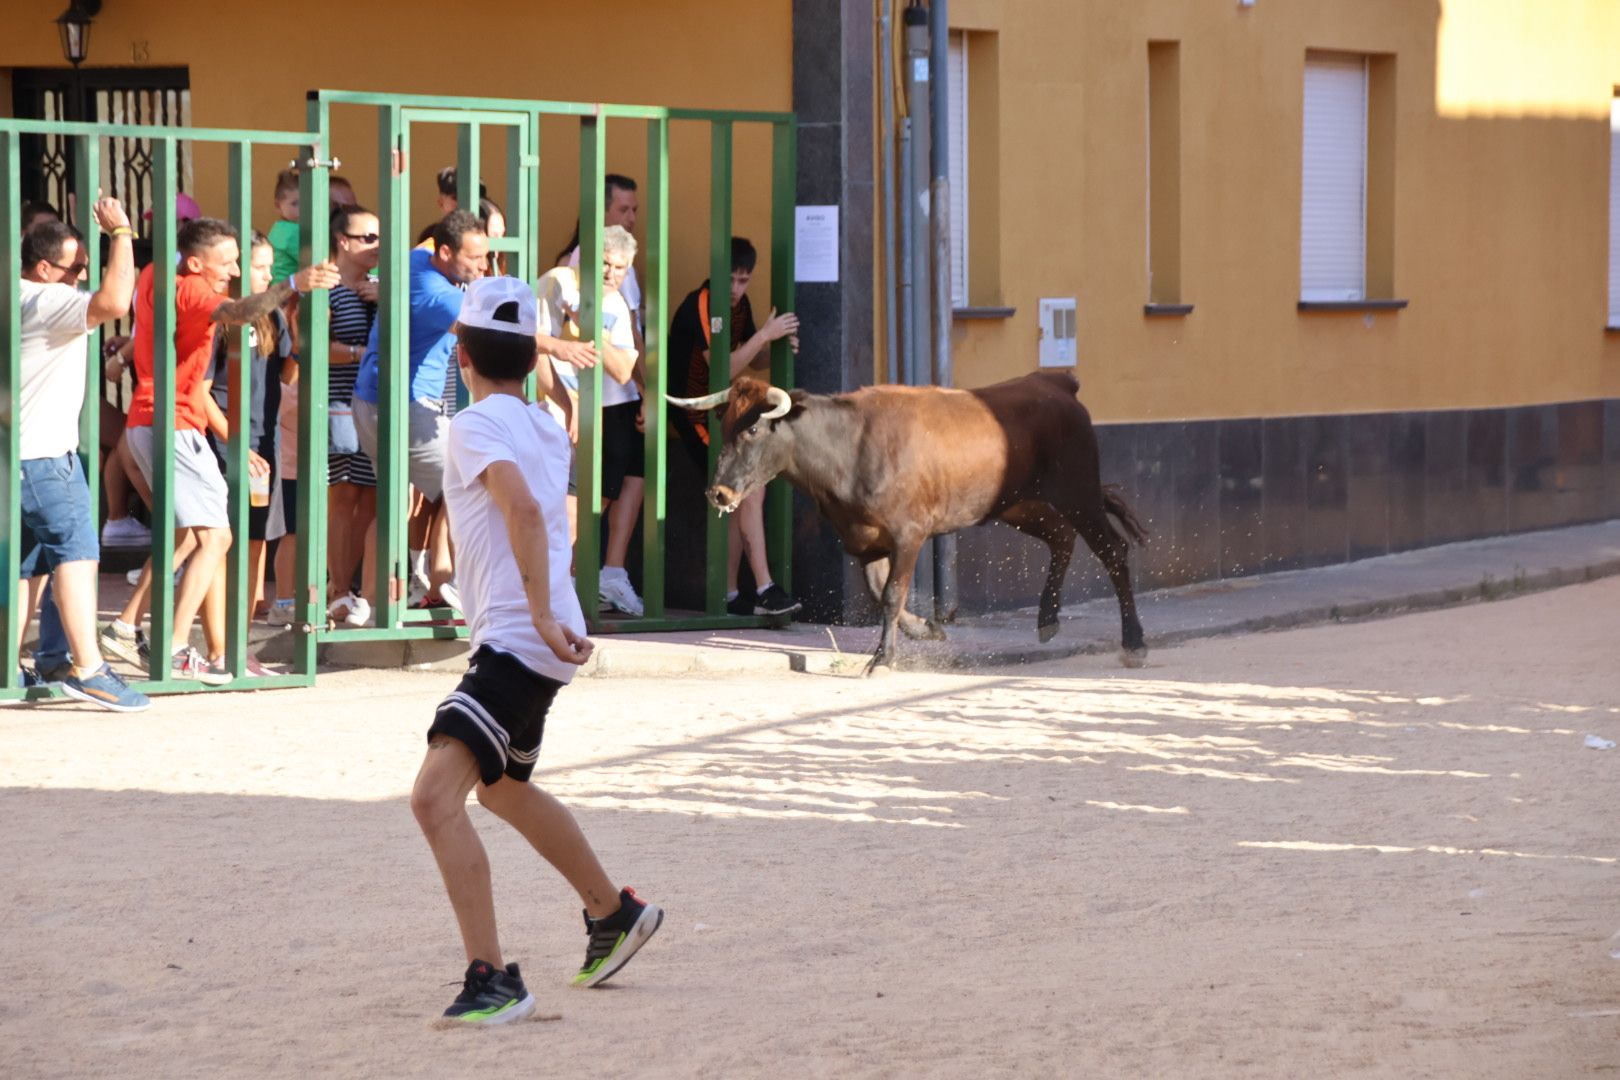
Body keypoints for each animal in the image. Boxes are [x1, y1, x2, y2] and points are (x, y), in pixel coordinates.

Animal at [670, 374, 1153, 676]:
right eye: (724, 425)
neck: (848, 448)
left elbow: (891, 594)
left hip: (1077, 493)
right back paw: (1048, 618)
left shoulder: (910, 534)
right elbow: (879, 593)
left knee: (1112, 552)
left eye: (752, 431)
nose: (718, 494)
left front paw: (883, 660)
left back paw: (1134, 642)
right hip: (1019, 504)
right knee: (1062, 538)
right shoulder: (864, 539)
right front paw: (926, 628)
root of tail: (1055, 383)